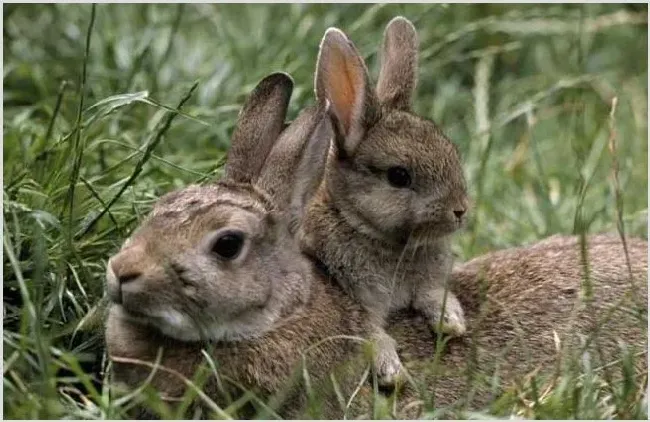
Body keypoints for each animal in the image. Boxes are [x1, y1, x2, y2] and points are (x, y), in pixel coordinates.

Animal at [296, 16, 468, 386]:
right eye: (399, 176)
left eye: (451, 152)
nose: (460, 210)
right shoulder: (356, 300)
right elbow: (371, 334)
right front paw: (392, 372)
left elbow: (433, 294)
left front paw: (452, 322)